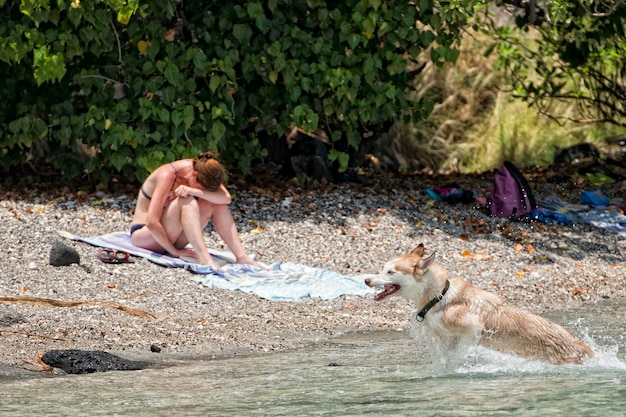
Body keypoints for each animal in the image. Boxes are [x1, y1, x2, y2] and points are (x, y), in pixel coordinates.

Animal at [366, 244, 596, 364]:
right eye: (383, 268)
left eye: (390, 272)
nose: (367, 280)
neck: (439, 297)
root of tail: (578, 343)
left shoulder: (472, 329)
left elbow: (458, 355)